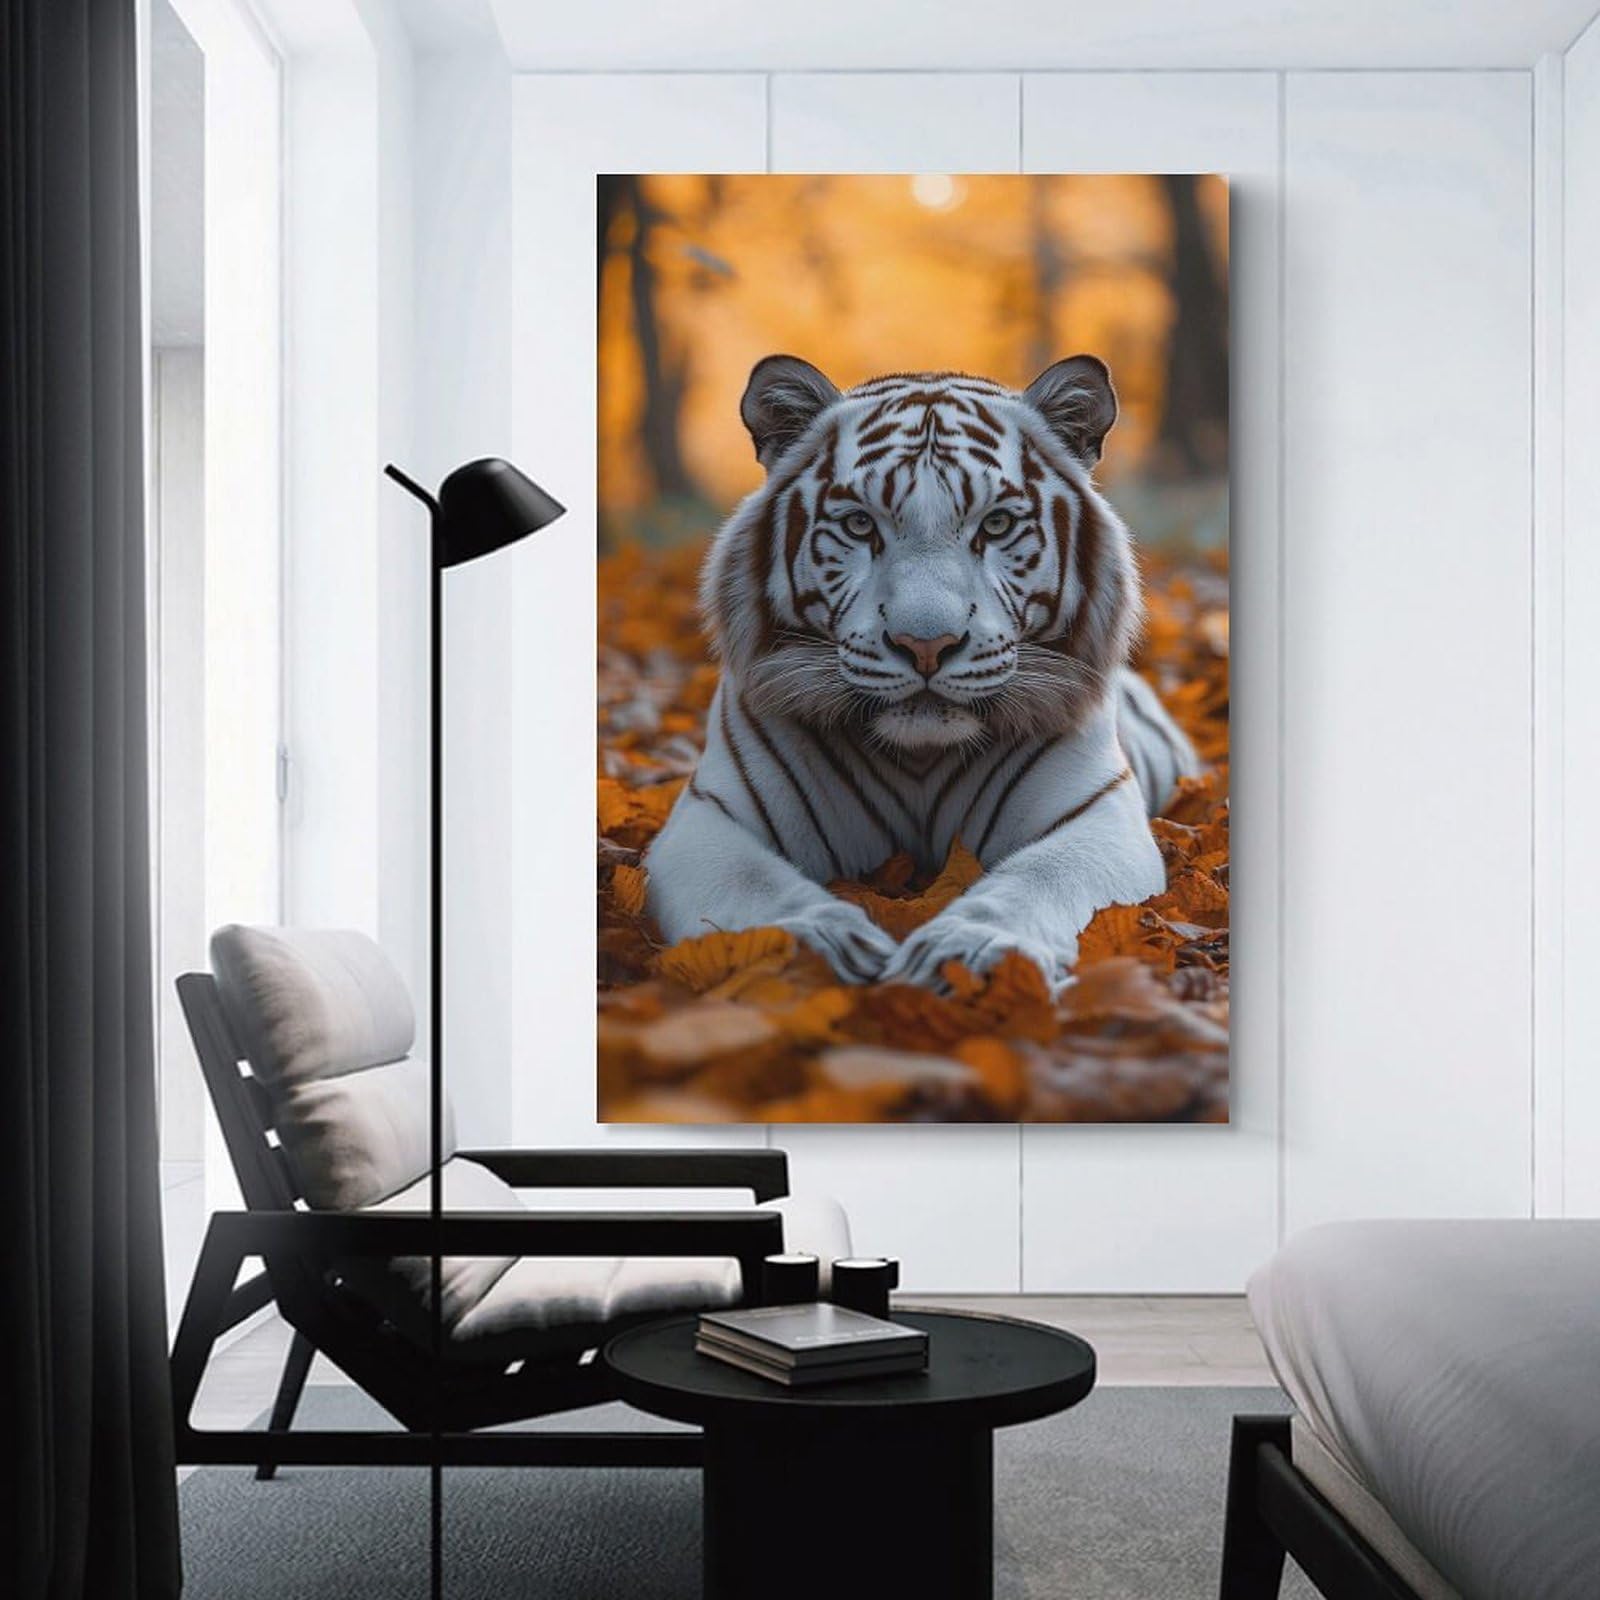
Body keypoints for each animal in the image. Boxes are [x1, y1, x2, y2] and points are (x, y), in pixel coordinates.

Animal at [643, 353, 1199, 990]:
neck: (920, 762)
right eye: (860, 525)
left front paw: (969, 951)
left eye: (997, 525)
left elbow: (1039, 880)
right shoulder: (708, 818)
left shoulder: (1097, 814)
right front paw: (821, 945)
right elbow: (754, 886)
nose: (926, 644)